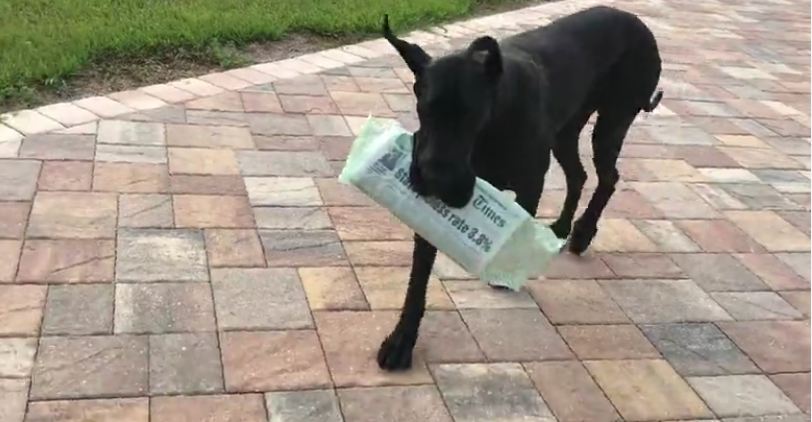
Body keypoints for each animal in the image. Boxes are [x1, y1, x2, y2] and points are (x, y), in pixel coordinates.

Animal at [378, 5, 664, 370]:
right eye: (423, 109)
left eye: (472, 115)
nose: (437, 180)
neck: (493, 122)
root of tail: (635, 19)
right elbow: (418, 277)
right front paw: (401, 340)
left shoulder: (530, 183)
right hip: (565, 132)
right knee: (579, 175)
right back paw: (561, 228)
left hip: (613, 121)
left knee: (608, 177)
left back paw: (582, 232)